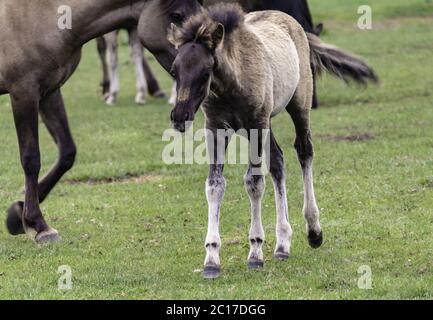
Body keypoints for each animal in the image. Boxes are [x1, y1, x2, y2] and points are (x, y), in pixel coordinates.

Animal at [0, 0, 202, 244]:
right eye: (176, 15)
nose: (201, 65)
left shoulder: (49, 91)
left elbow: (67, 152)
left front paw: (18, 213)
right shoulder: (24, 92)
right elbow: (31, 159)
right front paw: (38, 224)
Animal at [167, 3, 376, 278]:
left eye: (205, 72)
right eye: (174, 71)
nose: (179, 116)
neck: (233, 82)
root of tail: (294, 24)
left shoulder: (256, 124)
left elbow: (254, 183)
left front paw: (255, 252)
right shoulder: (216, 128)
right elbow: (215, 185)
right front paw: (211, 258)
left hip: (297, 107)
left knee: (304, 151)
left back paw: (313, 231)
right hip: (264, 126)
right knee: (277, 160)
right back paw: (282, 244)